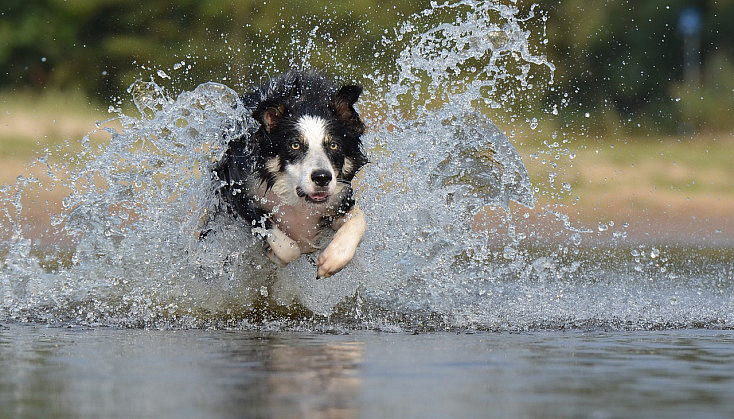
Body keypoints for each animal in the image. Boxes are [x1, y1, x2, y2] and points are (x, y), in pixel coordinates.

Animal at [216, 70, 370, 278]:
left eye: (333, 145)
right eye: (295, 145)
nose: (322, 178)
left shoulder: (340, 199)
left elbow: (359, 219)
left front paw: (332, 259)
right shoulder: (241, 195)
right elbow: (287, 247)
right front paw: (274, 253)